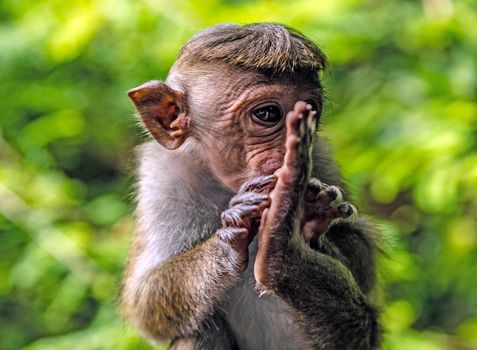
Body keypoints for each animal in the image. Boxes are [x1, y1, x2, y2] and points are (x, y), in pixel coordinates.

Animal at [121, 22, 382, 350]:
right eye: (267, 114)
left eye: (310, 111)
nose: (289, 151)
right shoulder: (162, 178)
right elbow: (144, 300)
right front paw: (231, 236)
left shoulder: (322, 159)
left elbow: (362, 247)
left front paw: (311, 221)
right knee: (200, 330)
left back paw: (281, 256)